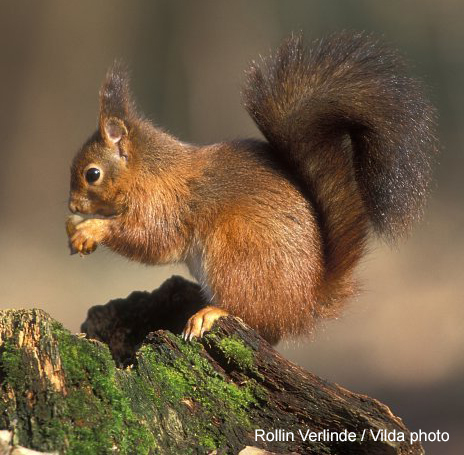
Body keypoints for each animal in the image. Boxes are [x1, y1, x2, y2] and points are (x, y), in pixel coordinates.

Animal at [67, 33, 436, 346]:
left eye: (92, 174)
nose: (72, 205)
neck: (149, 171)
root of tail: (305, 304)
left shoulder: (165, 205)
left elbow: (150, 239)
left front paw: (91, 228)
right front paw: (75, 228)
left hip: (238, 251)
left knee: (254, 316)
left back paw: (212, 312)